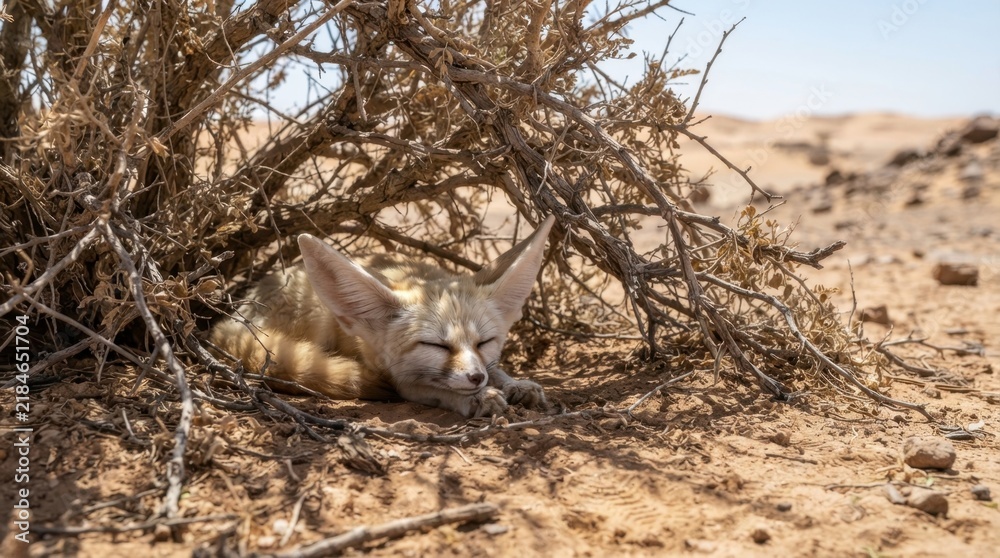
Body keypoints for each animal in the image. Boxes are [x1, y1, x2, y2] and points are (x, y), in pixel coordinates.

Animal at [209, 216, 556, 418]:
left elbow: (497, 369)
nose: (475, 378)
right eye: (436, 346)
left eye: (484, 342)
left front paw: (514, 384)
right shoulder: (400, 380)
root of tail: (239, 311)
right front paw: (478, 398)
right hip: (319, 318)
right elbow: (437, 390)